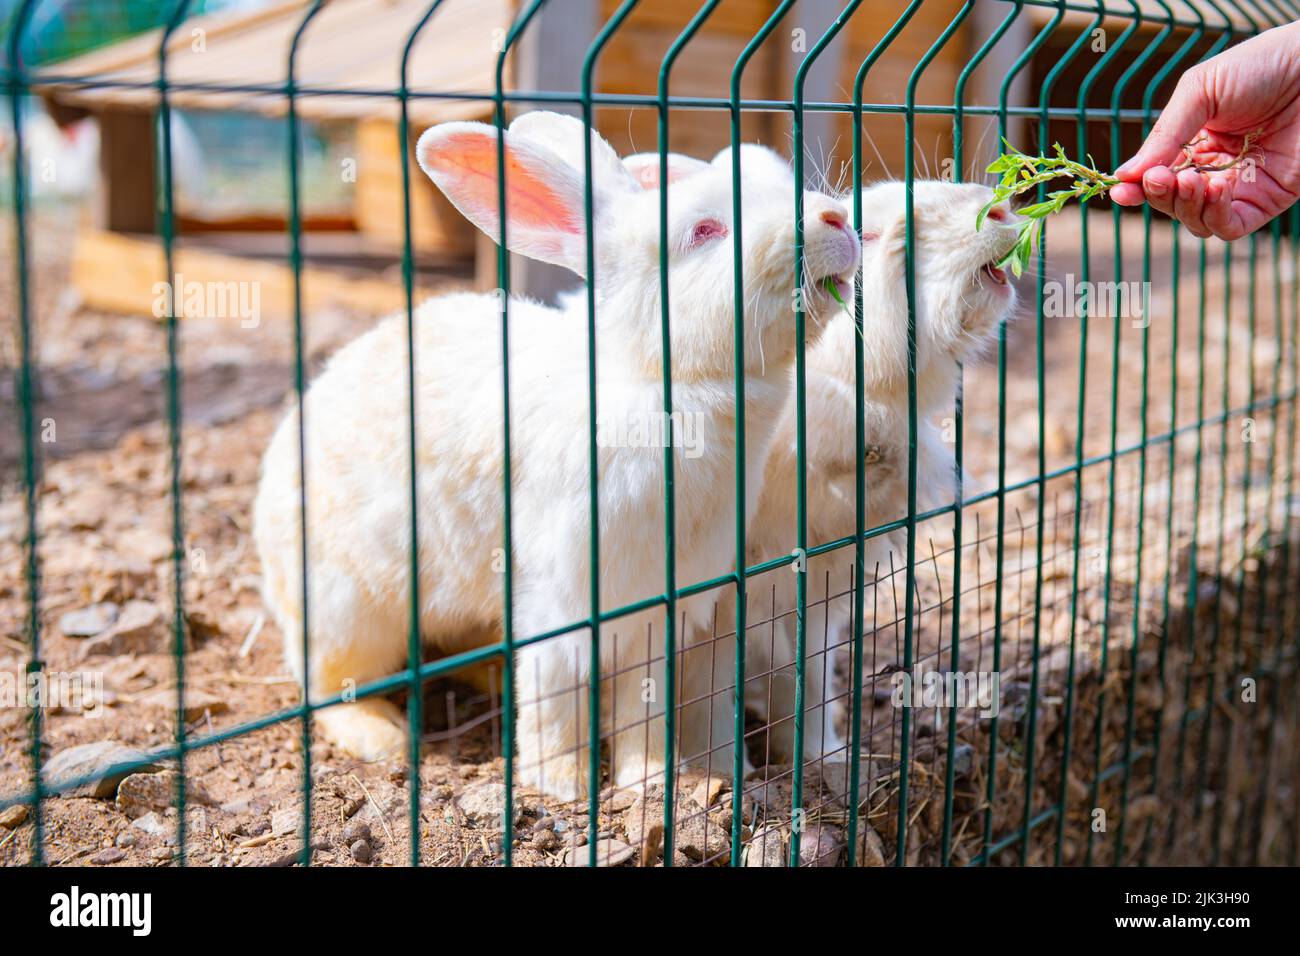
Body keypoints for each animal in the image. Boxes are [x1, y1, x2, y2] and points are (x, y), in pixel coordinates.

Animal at [252, 111, 861, 800]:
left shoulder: (660, 616)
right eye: (705, 230)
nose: (836, 219)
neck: (664, 379)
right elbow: (555, 700)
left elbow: (644, 706)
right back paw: (383, 734)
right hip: (347, 614)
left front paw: (652, 780)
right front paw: (562, 785)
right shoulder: (562, 603)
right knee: (329, 685)